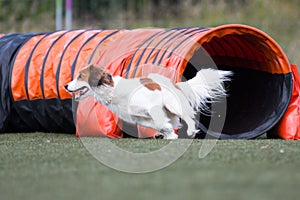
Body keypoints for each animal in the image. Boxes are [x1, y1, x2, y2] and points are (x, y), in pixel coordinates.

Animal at [64, 64, 231, 139]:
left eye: (80, 76)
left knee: (187, 116)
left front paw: (169, 133)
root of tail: (175, 83)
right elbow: (158, 124)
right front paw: (169, 133)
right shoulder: (139, 118)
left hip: (172, 104)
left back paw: (190, 131)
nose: (65, 86)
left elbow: (159, 121)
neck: (113, 91)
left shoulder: (152, 107)